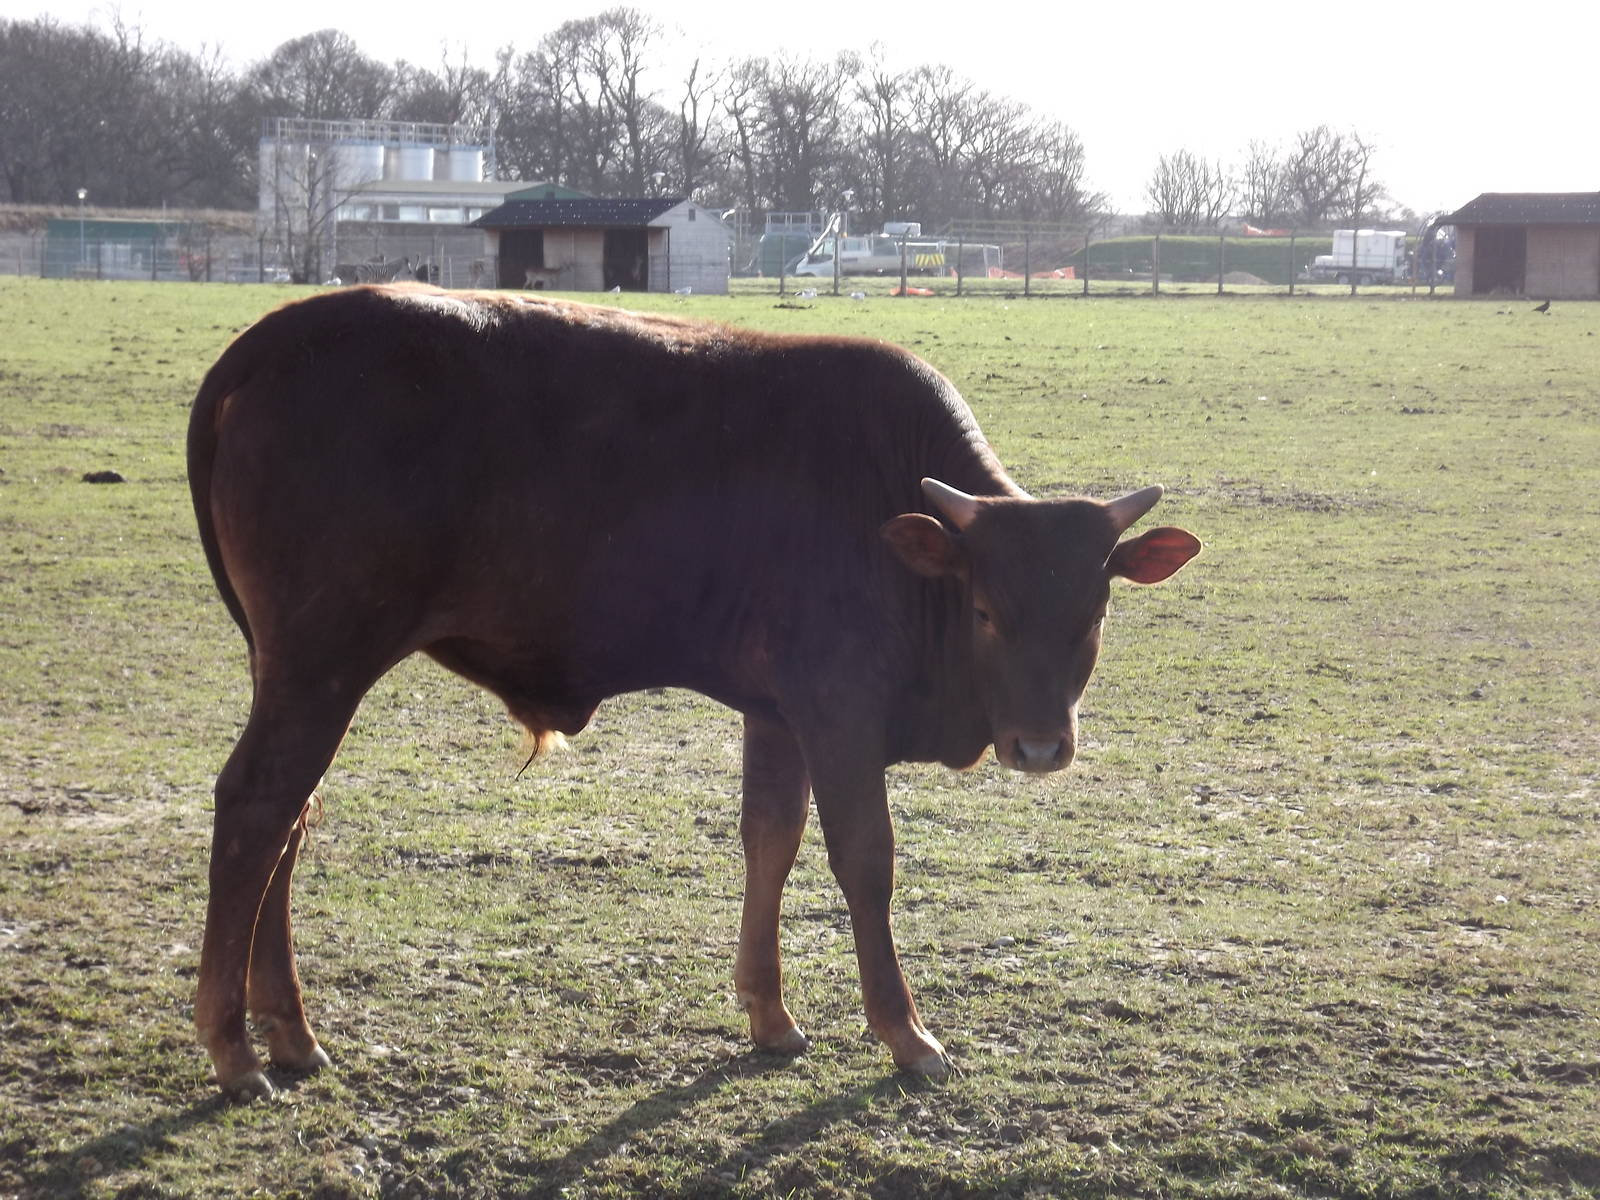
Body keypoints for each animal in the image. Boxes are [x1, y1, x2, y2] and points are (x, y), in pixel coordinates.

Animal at [186, 284, 1201, 1099]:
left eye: (1095, 612)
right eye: (986, 610)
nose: (1041, 746)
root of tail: (277, 337)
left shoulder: (777, 715)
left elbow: (770, 840)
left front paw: (770, 1014)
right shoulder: (838, 713)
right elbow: (864, 858)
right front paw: (905, 1033)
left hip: (297, 671)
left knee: (289, 820)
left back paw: (290, 1035)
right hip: (323, 661)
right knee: (257, 809)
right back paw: (236, 1051)